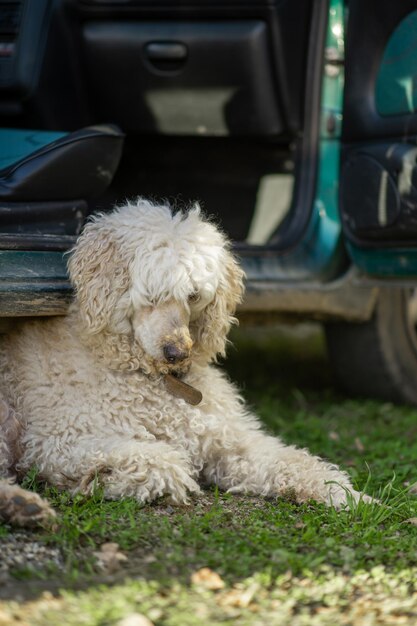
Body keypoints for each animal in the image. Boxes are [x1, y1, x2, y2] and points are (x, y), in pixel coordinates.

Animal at [0, 197, 366, 520]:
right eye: (151, 294)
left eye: (193, 295)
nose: (177, 353)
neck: (154, 378)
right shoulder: (60, 440)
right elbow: (160, 461)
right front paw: (108, 476)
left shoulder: (230, 441)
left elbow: (291, 460)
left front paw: (347, 494)